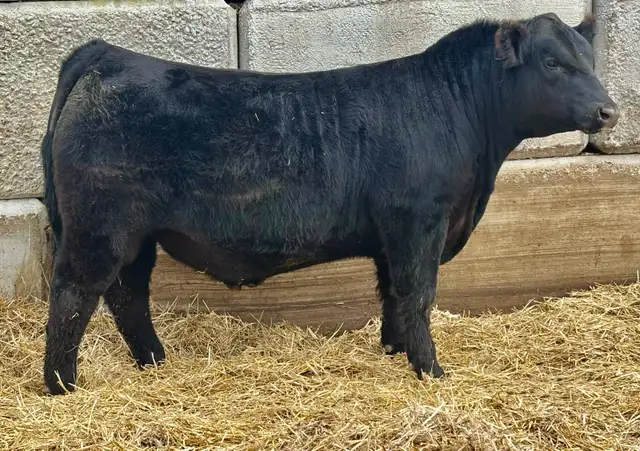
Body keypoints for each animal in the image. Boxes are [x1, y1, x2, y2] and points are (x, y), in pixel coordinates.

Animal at [40, 12, 618, 395]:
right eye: (551, 62)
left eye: (591, 60)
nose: (609, 111)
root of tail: (107, 54)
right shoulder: (420, 221)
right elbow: (419, 294)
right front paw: (431, 371)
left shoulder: (391, 236)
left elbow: (393, 295)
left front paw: (394, 352)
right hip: (99, 228)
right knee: (73, 297)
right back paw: (63, 385)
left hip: (136, 237)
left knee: (127, 297)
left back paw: (154, 362)